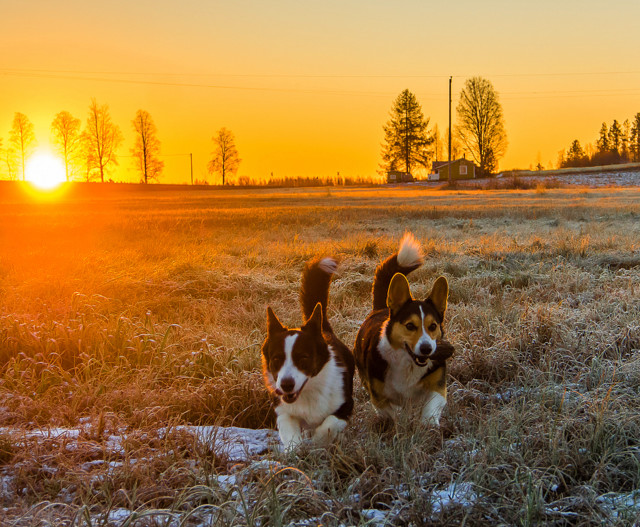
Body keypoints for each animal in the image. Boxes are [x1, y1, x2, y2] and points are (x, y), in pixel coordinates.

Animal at [260, 258, 356, 448]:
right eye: (276, 359)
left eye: (303, 358)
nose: (286, 385)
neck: (308, 391)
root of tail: (323, 329)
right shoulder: (283, 411)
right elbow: (291, 436)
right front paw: (297, 450)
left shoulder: (346, 405)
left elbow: (328, 425)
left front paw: (316, 442)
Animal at [352, 233, 452, 426]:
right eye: (410, 326)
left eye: (433, 326)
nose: (426, 349)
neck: (409, 362)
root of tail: (381, 308)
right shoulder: (378, 396)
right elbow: (389, 413)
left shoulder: (437, 386)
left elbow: (431, 407)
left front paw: (428, 424)